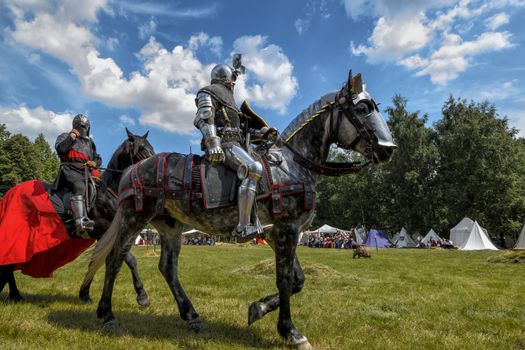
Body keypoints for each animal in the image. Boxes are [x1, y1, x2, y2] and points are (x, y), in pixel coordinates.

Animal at [0, 129, 155, 306]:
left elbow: (96, 262)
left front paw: (85, 293)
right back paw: (15, 295)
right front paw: (142, 295)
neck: (109, 192)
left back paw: (13, 294)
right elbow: (128, 258)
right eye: (141, 149)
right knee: (8, 264)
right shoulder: (105, 232)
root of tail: (10, 193)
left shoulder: (104, 236)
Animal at [84, 70, 396, 348]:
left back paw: (191, 315)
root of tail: (132, 169)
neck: (293, 165)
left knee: (167, 268)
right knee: (115, 258)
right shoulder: (286, 230)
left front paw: (258, 309)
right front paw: (290, 331)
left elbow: (297, 280)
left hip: (170, 227)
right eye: (363, 108)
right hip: (134, 218)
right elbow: (285, 281)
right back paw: (107, 314)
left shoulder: (280, 234)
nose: (388, 149)